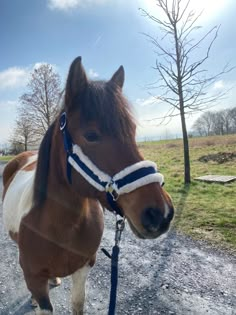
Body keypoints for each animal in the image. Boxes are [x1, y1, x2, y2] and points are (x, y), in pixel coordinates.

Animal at [1, 57, 174, 315]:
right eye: (91, 135)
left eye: (132, 131)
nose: (160, 212)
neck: (61, 227)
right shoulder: (34, 277)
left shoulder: (83, 268)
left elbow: (77, 304)